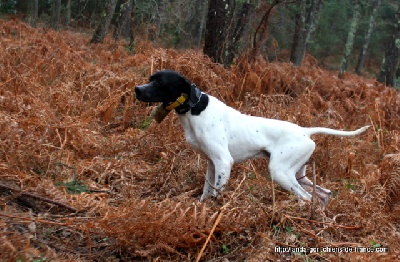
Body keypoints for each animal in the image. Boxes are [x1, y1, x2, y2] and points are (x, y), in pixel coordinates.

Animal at [135, 70, 368, 206]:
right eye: (149, 79)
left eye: (160, 83)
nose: (137, 89)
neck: (195, 109)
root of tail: (305, 131)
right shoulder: (212, 163)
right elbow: (207, 190)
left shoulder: (223, 162)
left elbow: (217, 193)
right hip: (299, 174)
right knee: (323, 194)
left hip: (280, 172)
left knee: (306, 197)